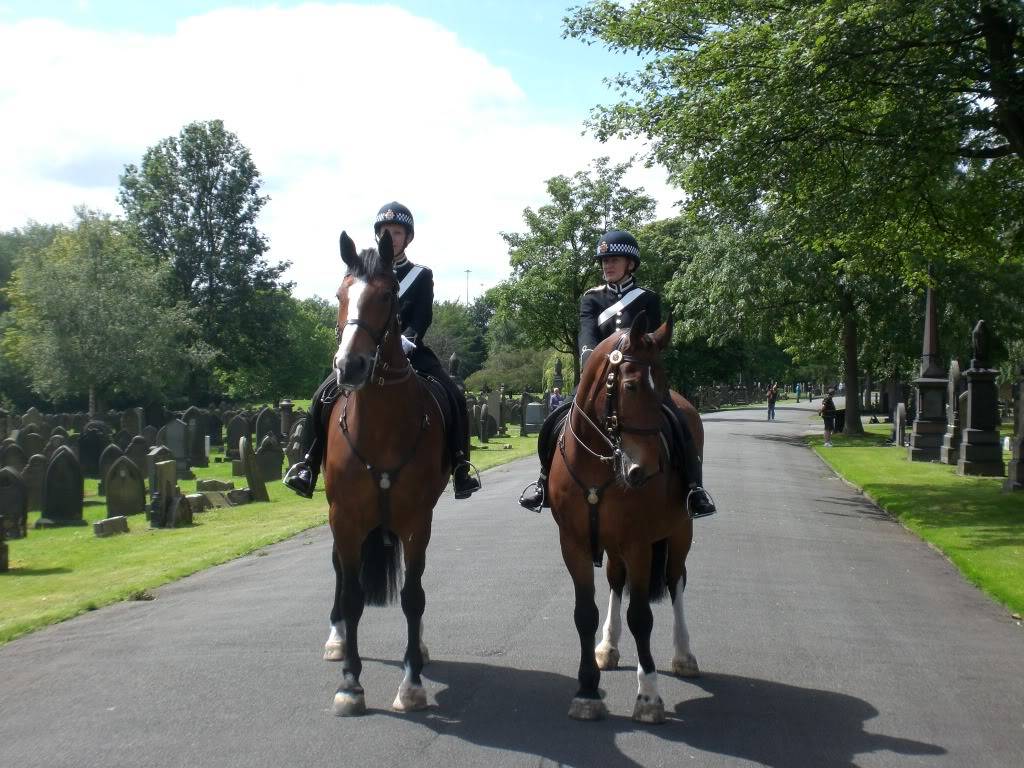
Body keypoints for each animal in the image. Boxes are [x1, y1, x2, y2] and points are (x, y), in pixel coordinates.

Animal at [321, 231, 446, 720]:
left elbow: (414, 596)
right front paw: (349, 685)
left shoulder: (416, 521)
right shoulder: (345, 518)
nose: (350, 366)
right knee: (340, 573)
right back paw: (337, 639)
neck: (380, 427)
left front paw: (411, 684)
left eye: (389, 295)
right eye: (341, 295)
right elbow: (352, 595)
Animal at [548, 311, 700, 720]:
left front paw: (648, 695)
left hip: (680, 533)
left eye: (662, 385)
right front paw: (587, 690)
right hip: (613, 545)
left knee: (676, 580)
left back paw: (684, 654)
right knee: (617, 582)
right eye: (630, 386)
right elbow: (584, 612)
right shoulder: (575, 544)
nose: (644, 470)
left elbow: (642, 617)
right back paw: (608, 646)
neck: (601, 462)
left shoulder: (639, 544)